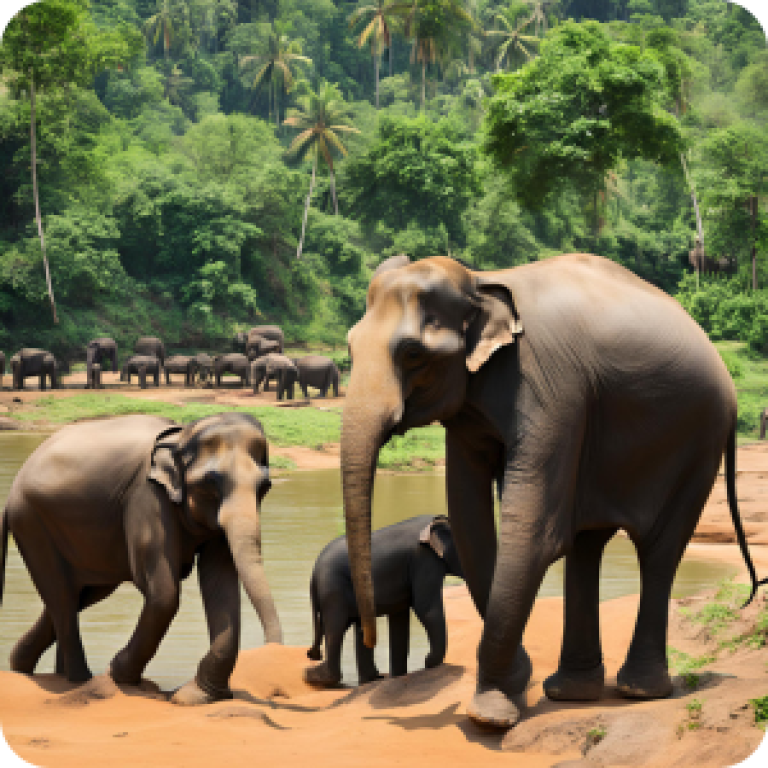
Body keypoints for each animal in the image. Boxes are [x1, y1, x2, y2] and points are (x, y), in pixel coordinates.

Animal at [0, 414, 282, 704]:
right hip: (32, 523)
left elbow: (220, 581)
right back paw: (79, 680)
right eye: (209, 482)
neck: (182, 435)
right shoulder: (147, 498)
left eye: (264, 487)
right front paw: (119, 675)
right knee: (62, 596)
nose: (273, 648)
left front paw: (194, 697)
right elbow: (163, 592)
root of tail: (12, 493)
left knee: (79, 594)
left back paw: (27, 668)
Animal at [304, 516, 462, 684]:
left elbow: (399, 618)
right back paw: (315, 676)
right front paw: (429, 662)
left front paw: (399, 675)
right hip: (333, 590)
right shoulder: (424, 560)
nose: (425, 661)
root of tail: (313, 574)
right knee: (336, 627)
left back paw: (373, 678)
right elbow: (426, 608)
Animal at [342, 255, 768, 728]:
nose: (369, 639)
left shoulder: (552, 390)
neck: (481, 280)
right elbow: (472, 523)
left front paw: (491, 715)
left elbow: (533, 532)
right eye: (350, 349)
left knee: (658, 548)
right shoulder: (472, 405)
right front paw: (515, 685)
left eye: (413, 353)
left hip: (698, 441)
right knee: (587, 543)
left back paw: (638, 691)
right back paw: (572, 693)